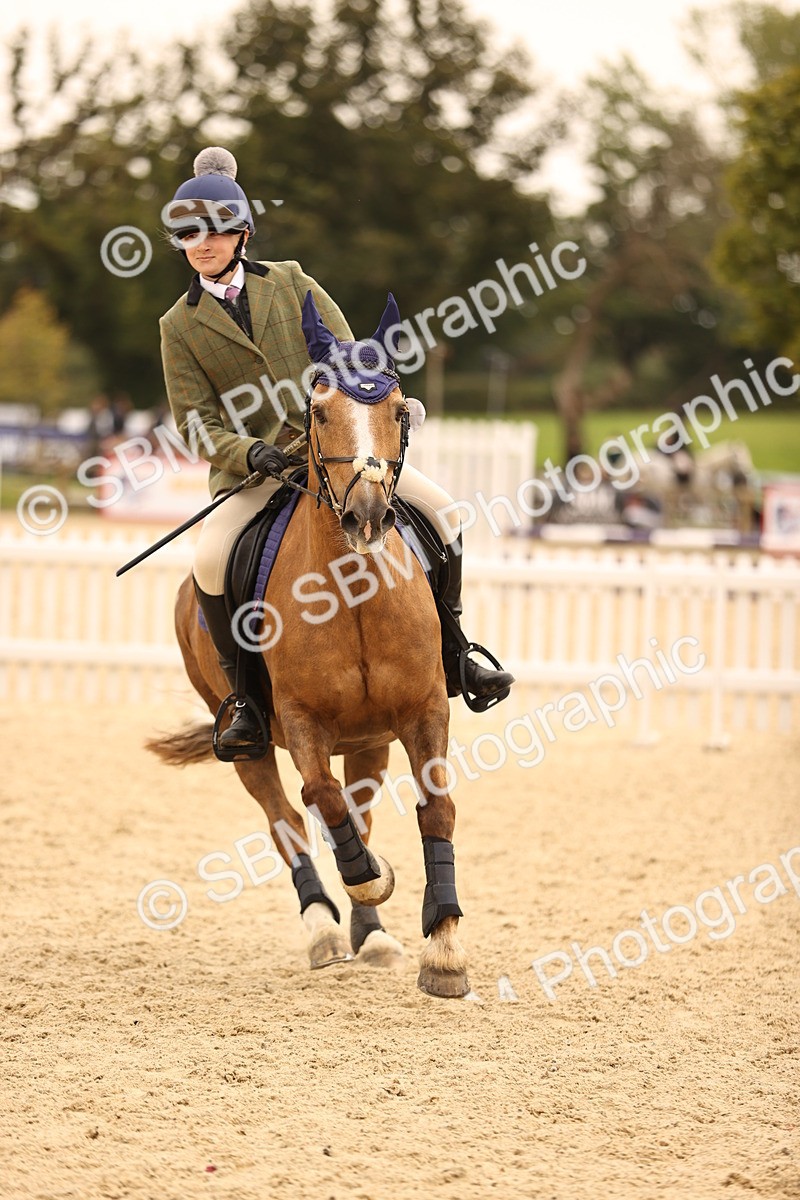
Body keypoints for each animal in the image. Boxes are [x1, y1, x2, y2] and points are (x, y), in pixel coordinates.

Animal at [147, 292, 470, 999]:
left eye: (398, 409)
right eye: (319, 410)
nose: (368, 517)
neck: (353, 593)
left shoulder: (424, 709)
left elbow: (435, 808)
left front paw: (444, 951)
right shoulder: (301, 720)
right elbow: (320, 800)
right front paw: (374, 879)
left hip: (371, 737)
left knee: (361, 809)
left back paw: (372, 935)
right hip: (250, 741)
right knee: (288, 823)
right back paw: (326, 927)